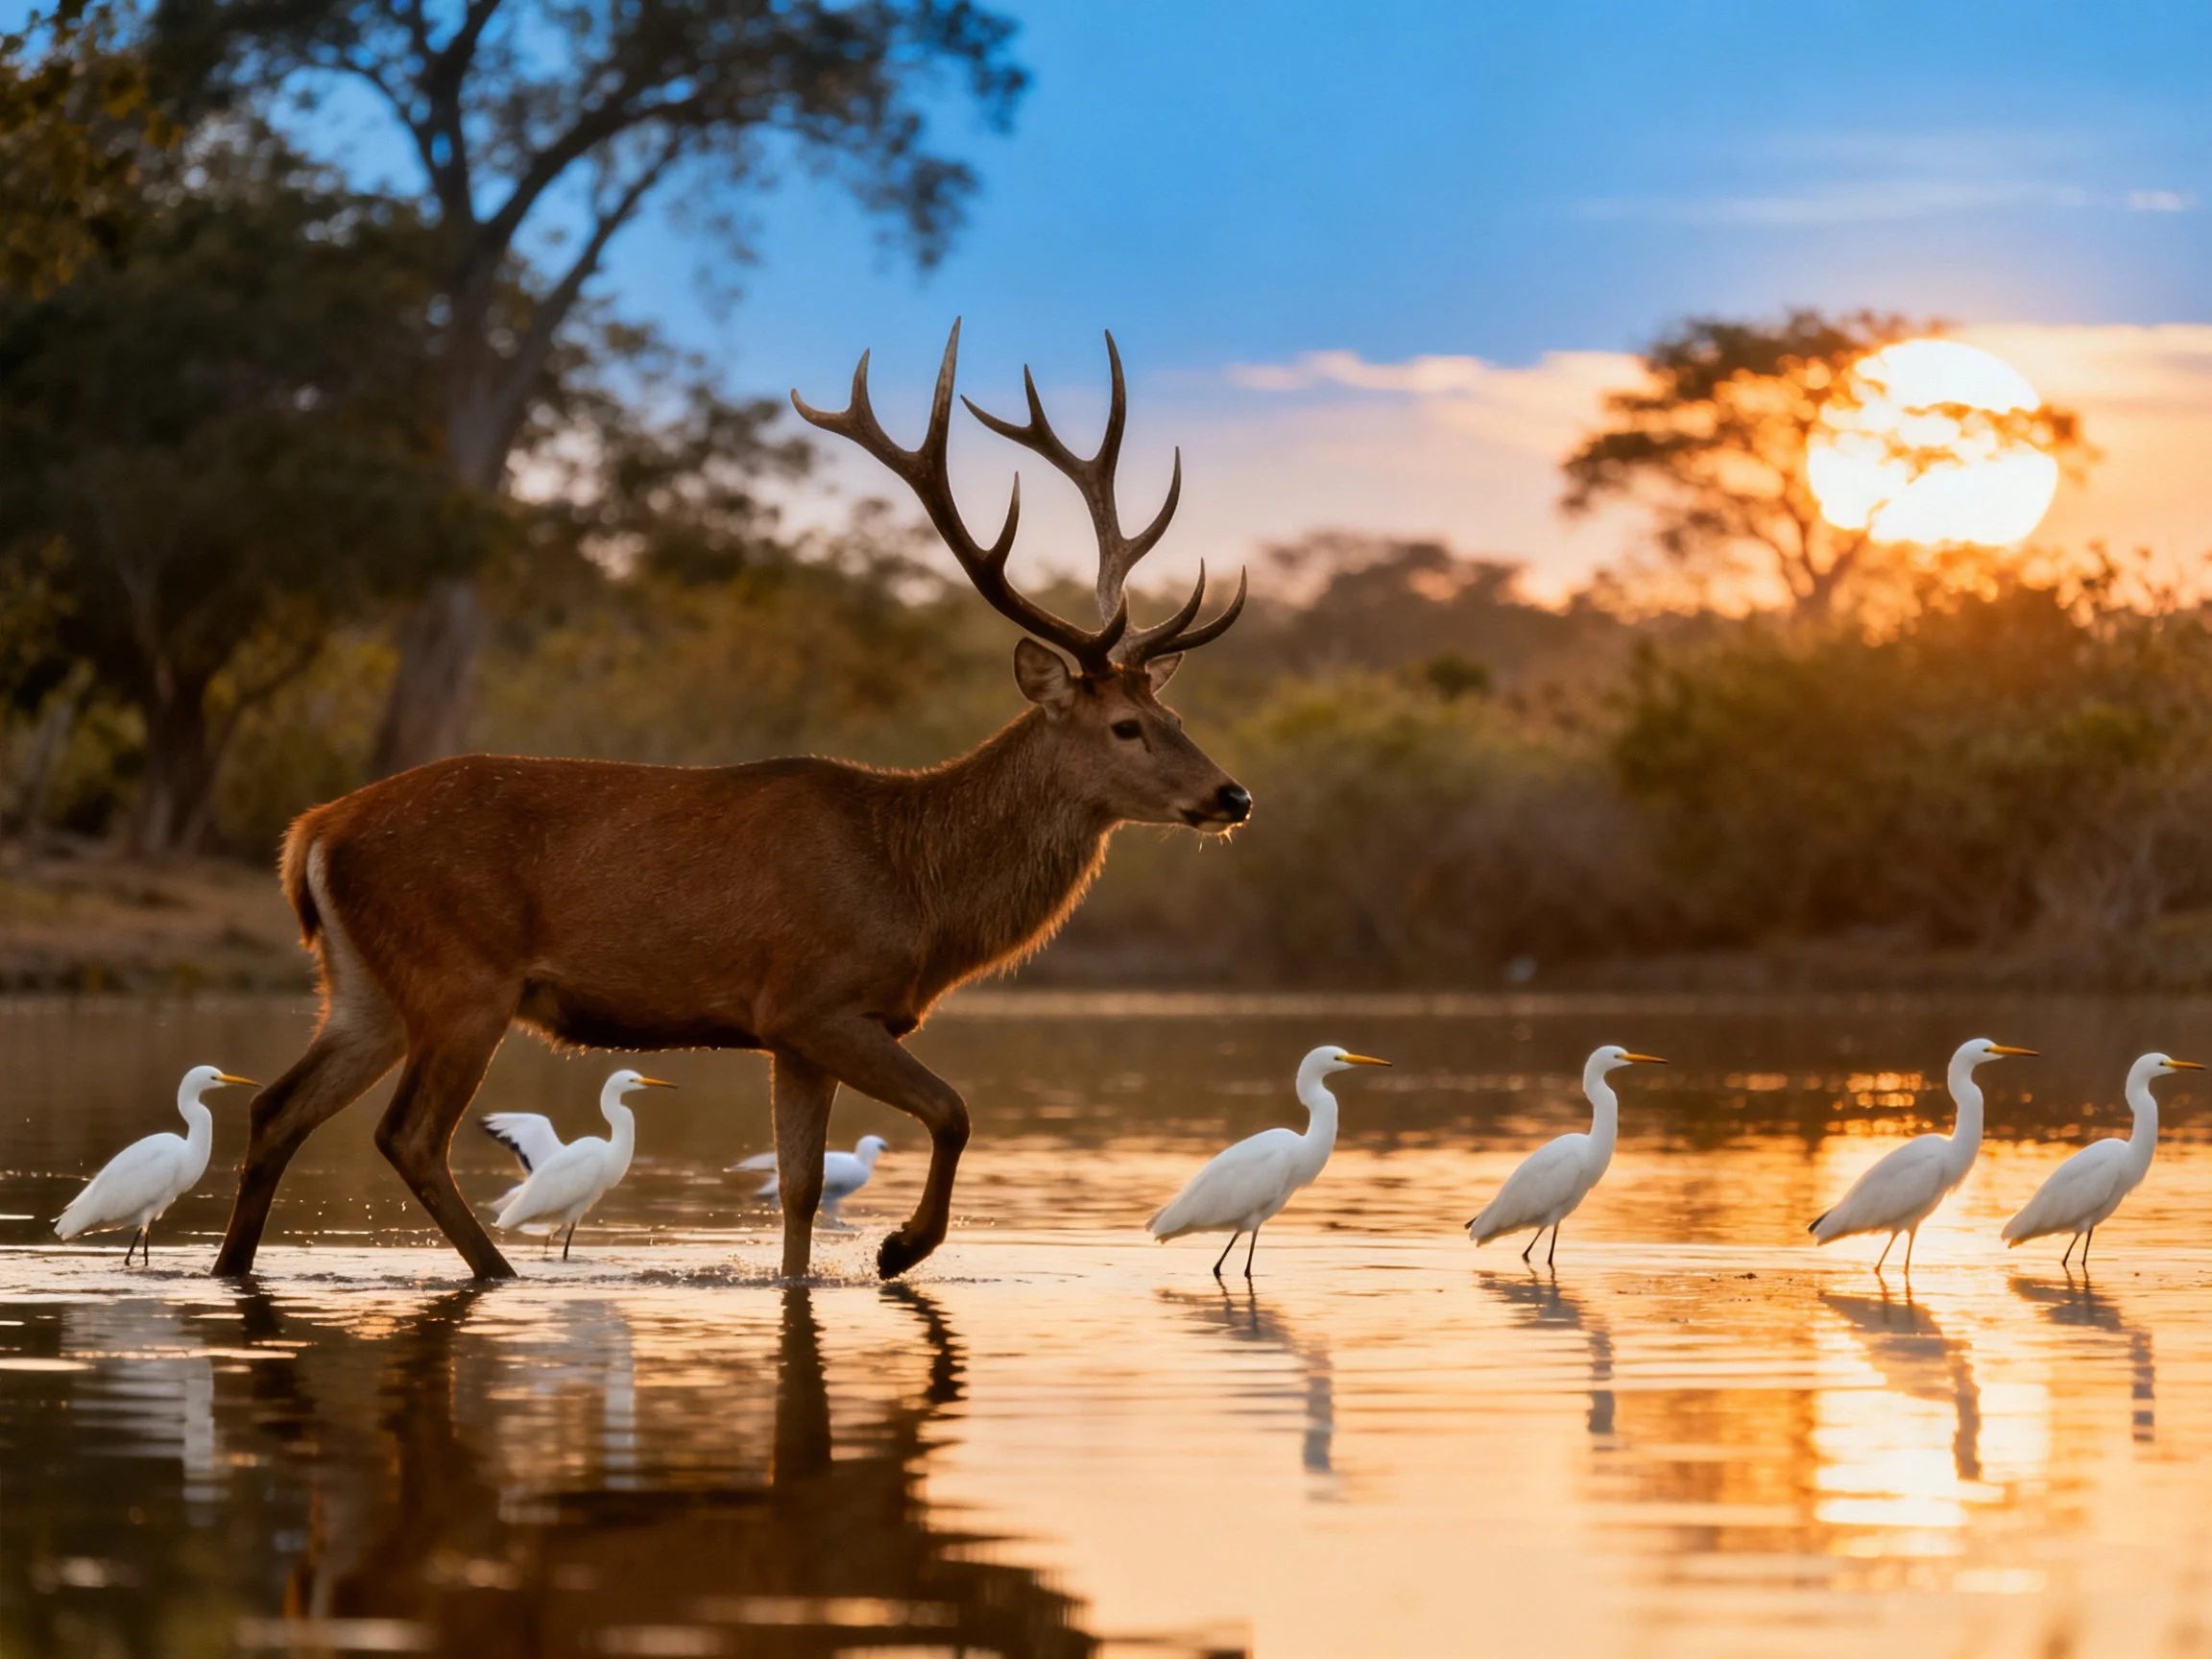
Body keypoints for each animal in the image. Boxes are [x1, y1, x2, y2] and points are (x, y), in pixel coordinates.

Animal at [211, 321, 1251, 1284]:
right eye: (1125, 726)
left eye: (1175, 711)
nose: (1232, 793)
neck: (915, 887)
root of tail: (311, 833)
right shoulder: (812, 999)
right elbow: (952, 1110)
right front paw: (900, 1248)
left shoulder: (794, 1034)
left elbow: (798, 1187)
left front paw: (816, 1273)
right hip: (461, 977)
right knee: (407, 1134)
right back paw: (496, 1272)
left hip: (363, 987)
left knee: (275, 1108)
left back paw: (233, 1266)